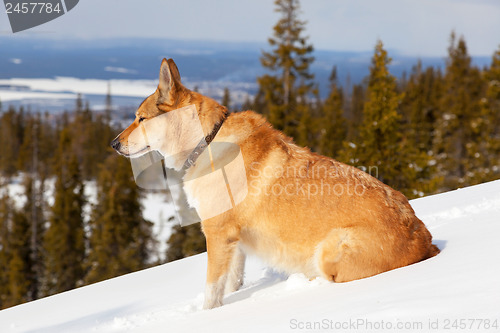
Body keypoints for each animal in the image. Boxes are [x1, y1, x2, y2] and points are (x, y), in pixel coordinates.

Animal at [111, 57, 440, 308]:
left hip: (329, 249)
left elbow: (212, 290)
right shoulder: (234, 242)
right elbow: (231, 282)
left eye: (140, 119)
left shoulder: (217, 234)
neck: (206, 141)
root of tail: (423, 239)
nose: (113, 144)